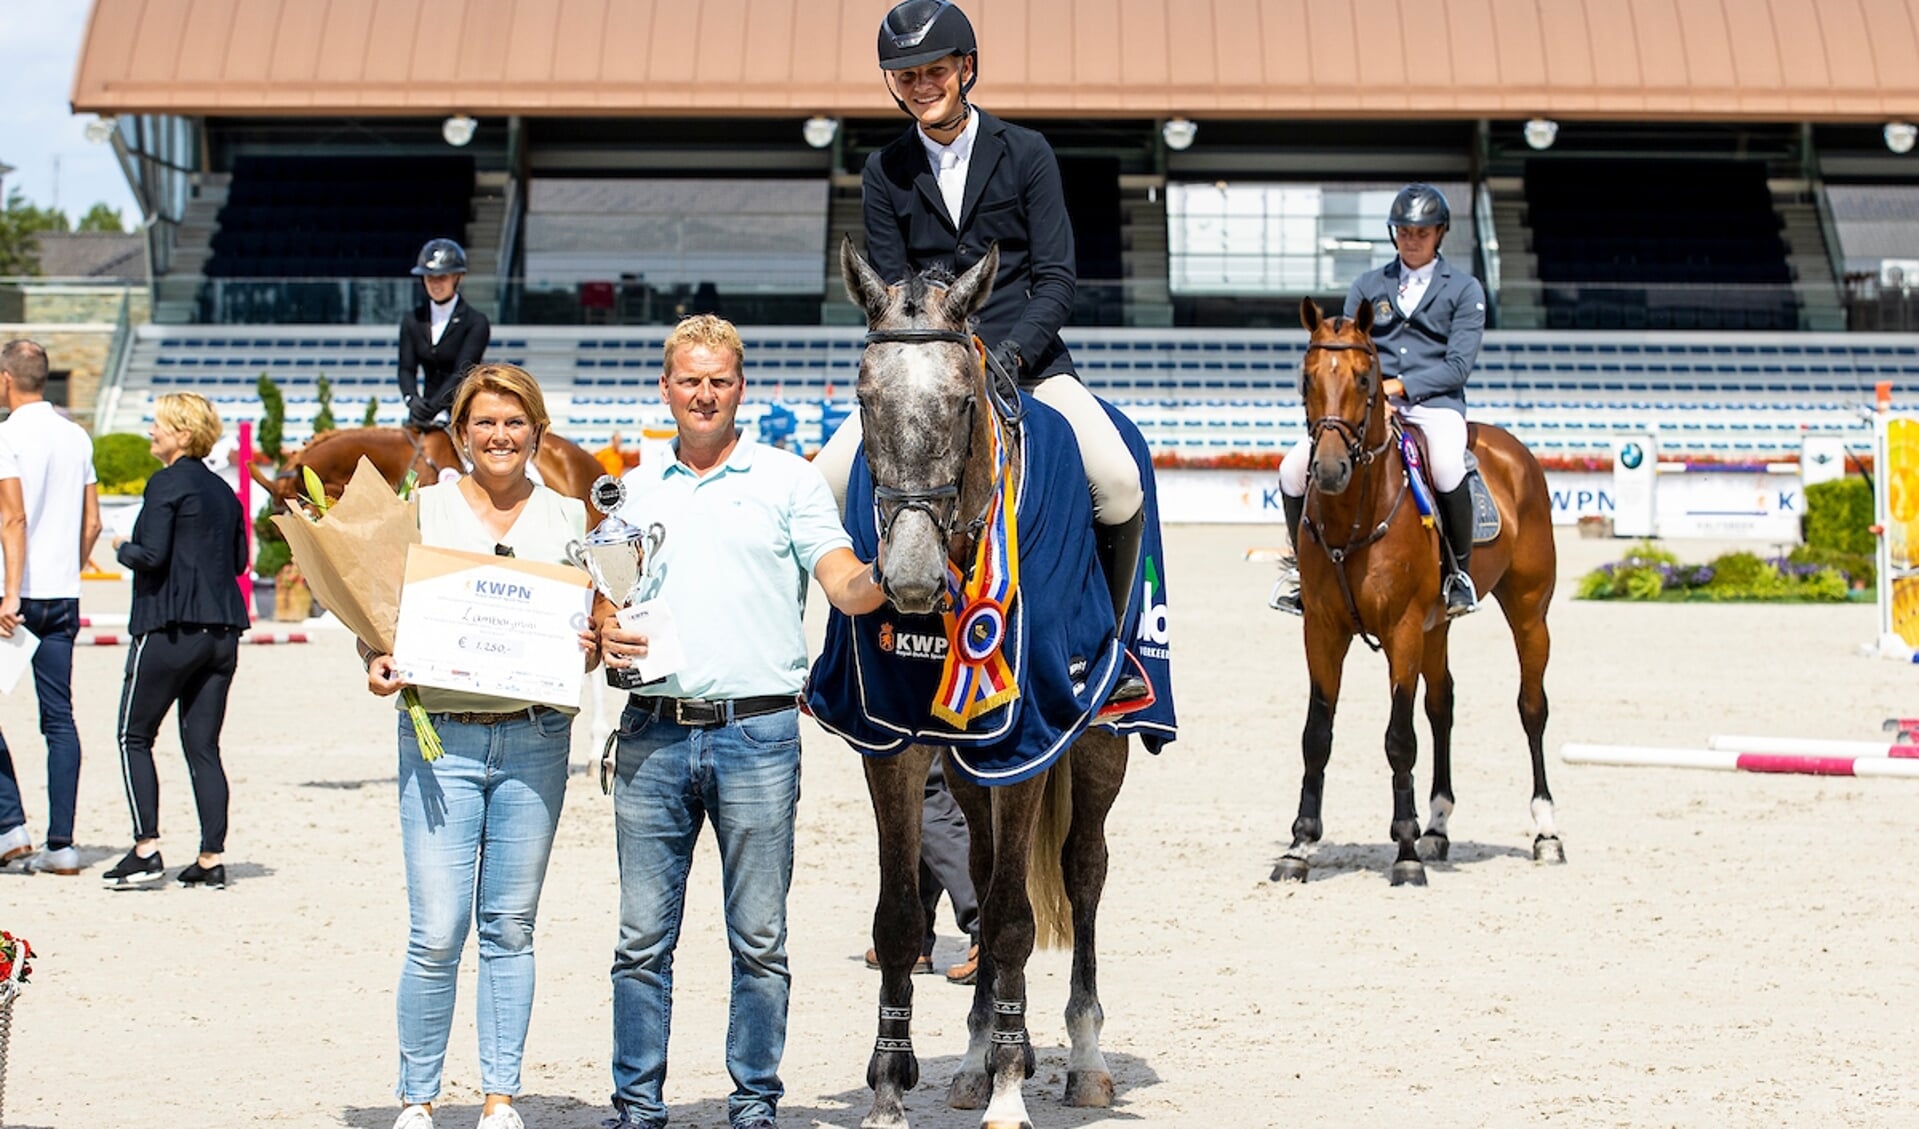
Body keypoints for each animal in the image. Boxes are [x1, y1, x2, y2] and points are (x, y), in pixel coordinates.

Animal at [832, 242, 1128, 1129]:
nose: (908, 579)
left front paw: (1008, 1095)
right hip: (966, 765)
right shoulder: (889, 744)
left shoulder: (1031, 741)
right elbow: (901, 917)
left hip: (1100, 743)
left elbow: (1009, 919)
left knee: (1081, 870)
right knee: (989, 856)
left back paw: (1082, 1059)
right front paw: (890, 1092)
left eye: (963, 402)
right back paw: (977, 1054)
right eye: (863, 399)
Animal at [1274, 299, 1558, 890]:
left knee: (1531, 707)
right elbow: (1317, 734)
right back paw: (1438, 827)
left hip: (1528, 613)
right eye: (1306, 379)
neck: (1352, 516)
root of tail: (1510, 448)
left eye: (1365, 378)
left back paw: (1546, 832)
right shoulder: (1323, 631)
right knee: (1441, 705)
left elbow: (1399, 738)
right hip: (1438, 626)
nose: (1328, 470)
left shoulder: (1402, 628)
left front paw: (1403, 853)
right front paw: (1300, 845)